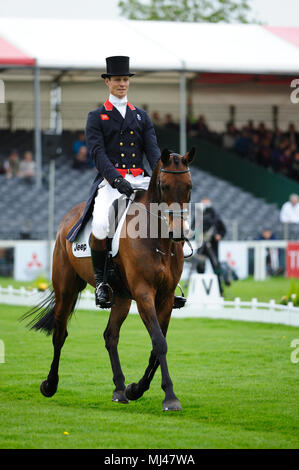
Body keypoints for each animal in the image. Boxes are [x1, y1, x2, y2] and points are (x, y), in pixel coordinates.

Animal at [24, 148, 197, 412]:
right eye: (164, 186)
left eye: (189, 186)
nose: (177, 232)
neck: (156, 238)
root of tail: (70, 217)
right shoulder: (144, 293)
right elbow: (159, 341)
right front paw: (170, 397)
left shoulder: (166, 297)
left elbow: (157, 346)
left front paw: (136, 389)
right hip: (67, 289)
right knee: (60, 333)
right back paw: (50, 385)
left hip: (122, 298)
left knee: (110, 336)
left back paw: (119, 389)